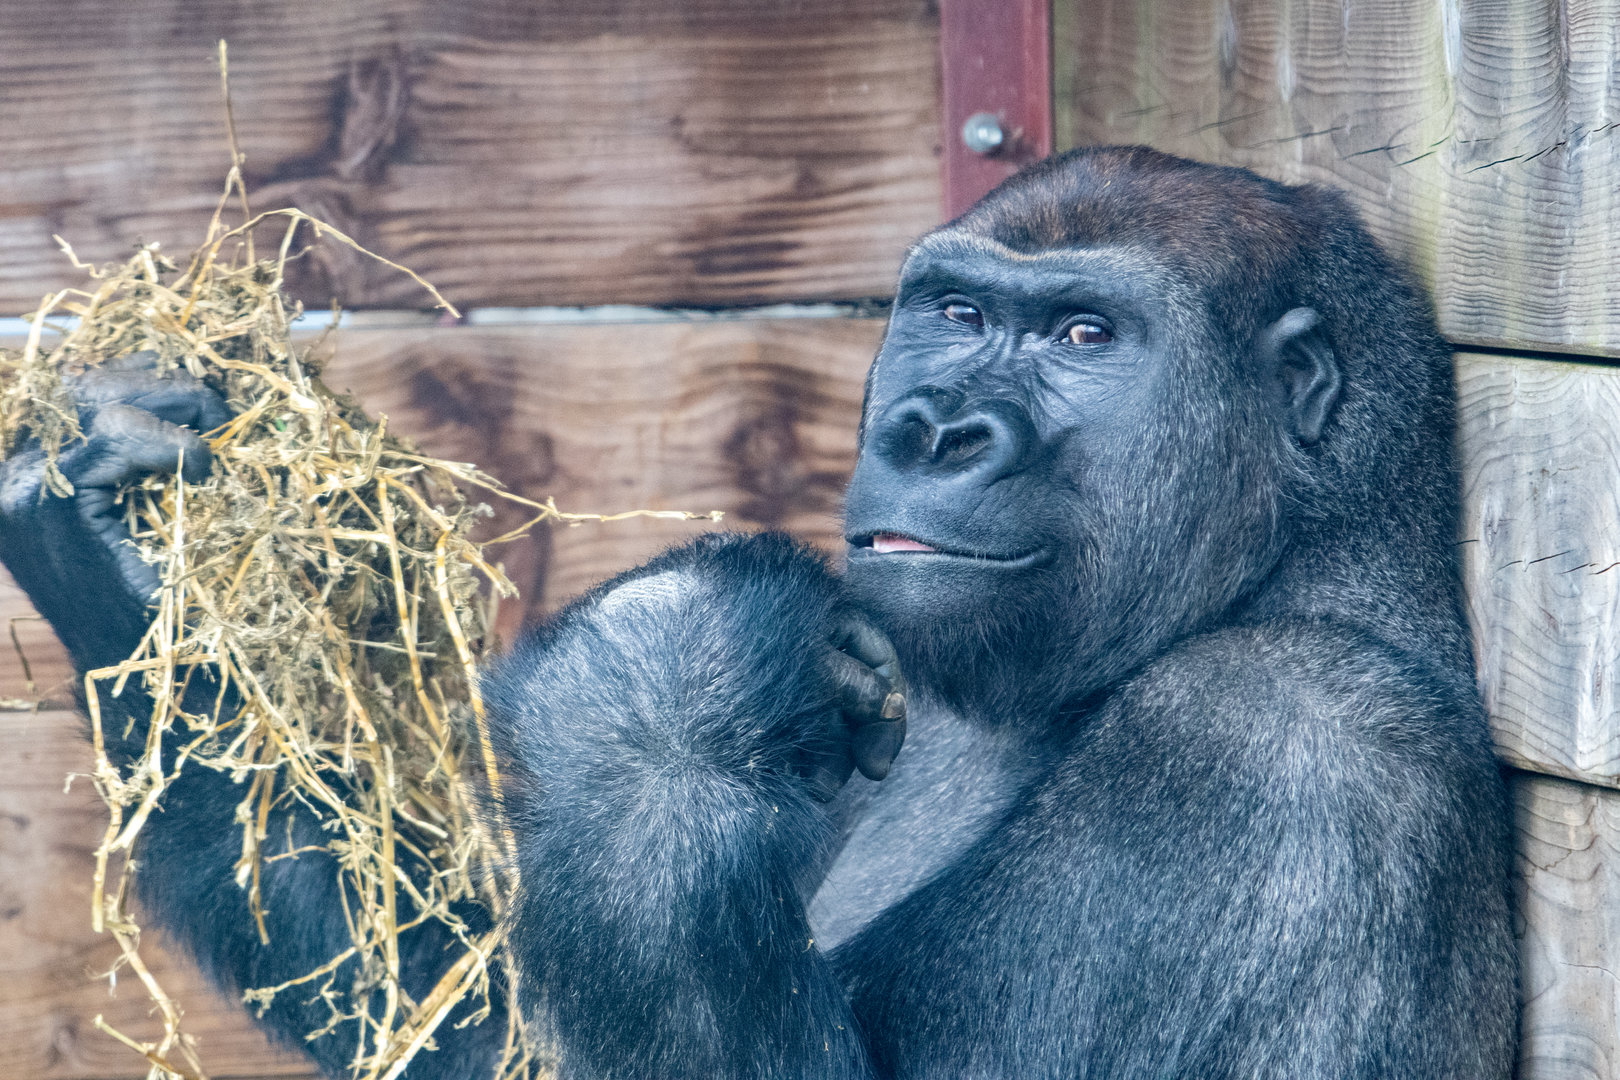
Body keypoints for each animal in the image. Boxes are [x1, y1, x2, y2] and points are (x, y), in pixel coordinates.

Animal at [0, 146, 1517, 1078]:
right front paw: (118, 574)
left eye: (1088, 336)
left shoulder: (1276, 740)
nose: (931, 426)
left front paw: (667, 677)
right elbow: (491, 1017)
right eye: (954, 313)